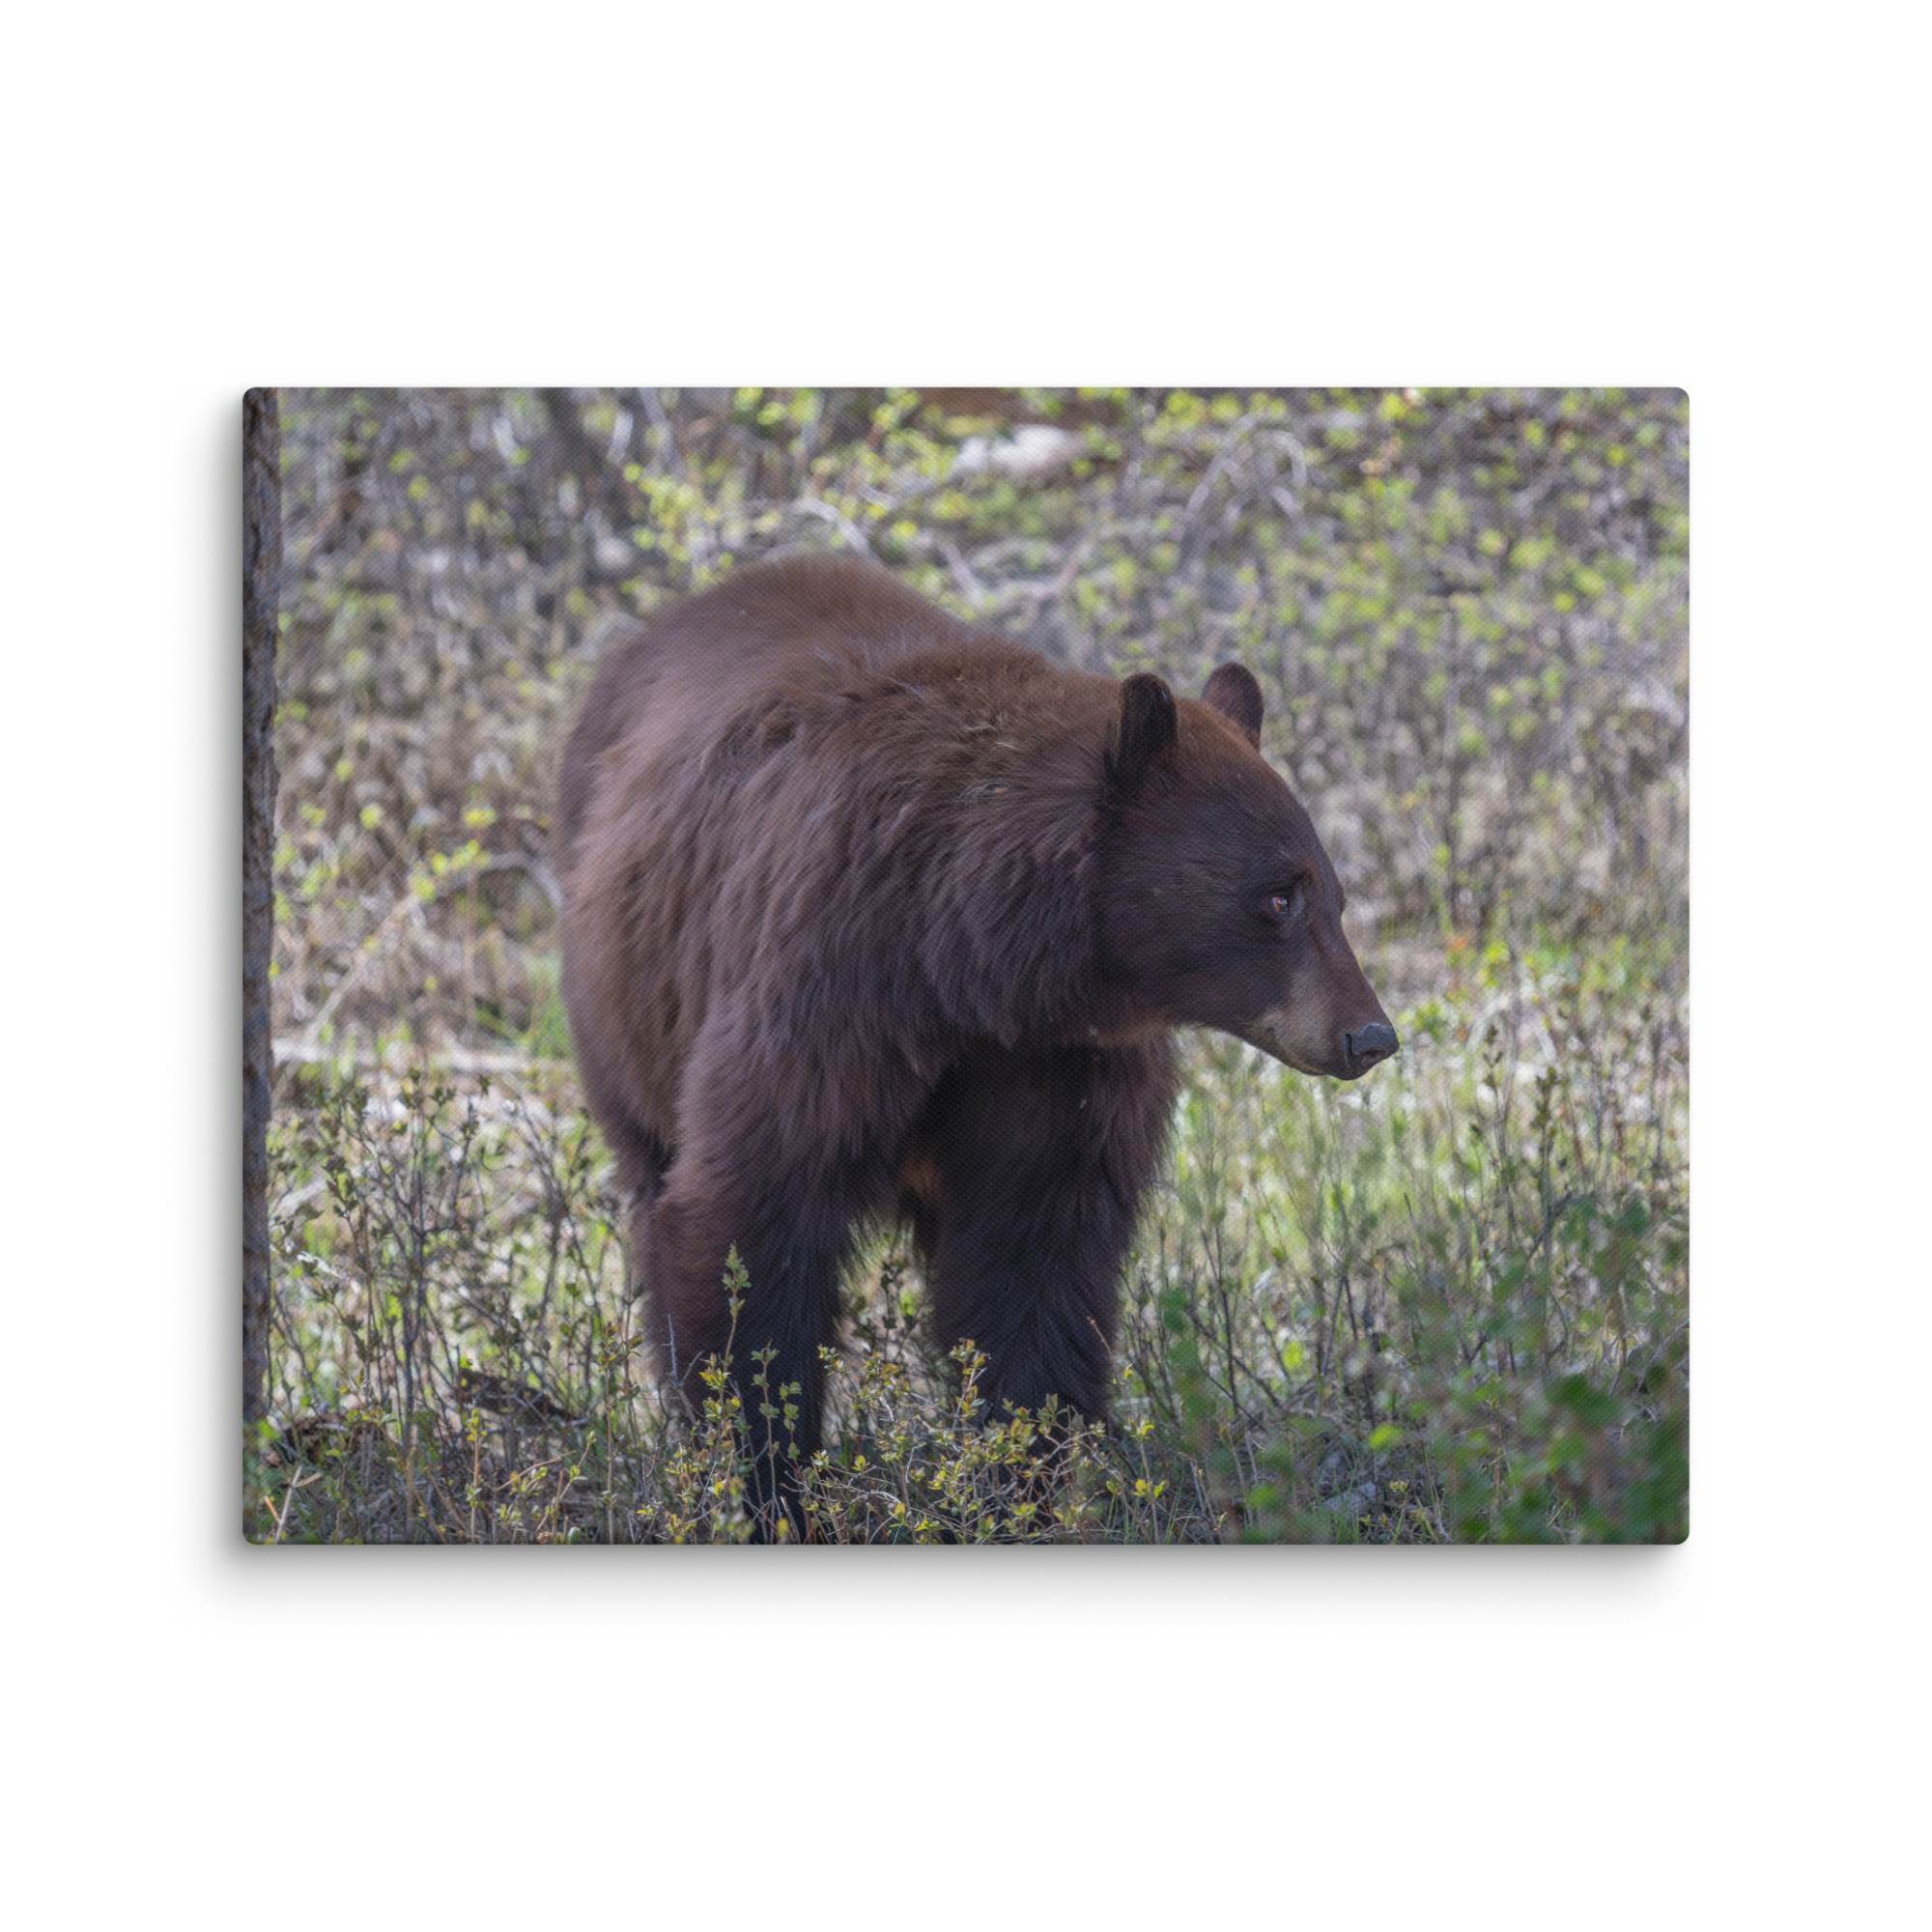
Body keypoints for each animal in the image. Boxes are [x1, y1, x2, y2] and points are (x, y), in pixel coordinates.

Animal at [556, 553, 1396, 1520]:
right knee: (653, 1178)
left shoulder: (1060, 1065)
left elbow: (1034, 1258)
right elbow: (752, 1216)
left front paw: (1013, 1481)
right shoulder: (826, 990)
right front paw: (768, 1479)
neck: (969, 964)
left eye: (1333, 893)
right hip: (626, 1007)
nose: (1369, 1035)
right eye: (1278, 896)